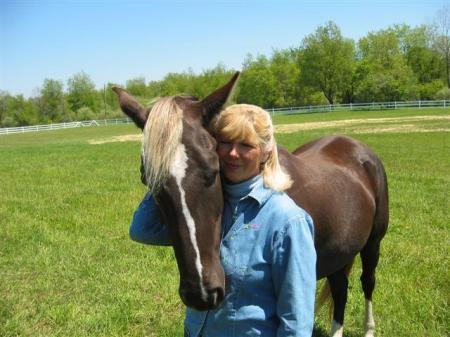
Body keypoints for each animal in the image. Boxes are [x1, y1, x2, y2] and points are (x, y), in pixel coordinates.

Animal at [112, 71, 386, 336]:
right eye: (148, 181)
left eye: (213, 171)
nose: (200, 293)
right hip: (341, 252)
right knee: (340, 288)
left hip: (372, 244)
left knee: (367, 281)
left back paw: (369, 329)